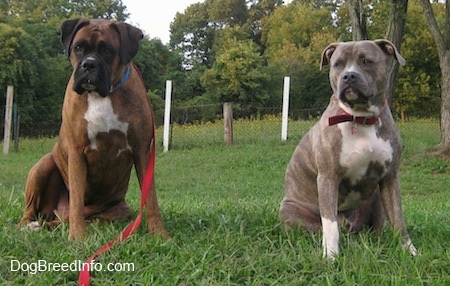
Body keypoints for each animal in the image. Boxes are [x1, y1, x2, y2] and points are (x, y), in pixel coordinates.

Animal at [19, 19, 169, 240]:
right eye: (78, 48)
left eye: (107, 50)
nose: (88, 64)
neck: (101, 96)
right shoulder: (77, 152)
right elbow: (76, 201)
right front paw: (78, 238)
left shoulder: (142, 151)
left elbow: (150, 197)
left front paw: (159, 233)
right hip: (42, 166)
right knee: (33, 211)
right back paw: (29, 225)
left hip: (120, 209)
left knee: (65, 220)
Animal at [280, 39, 416, 260]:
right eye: (338, 64)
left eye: (367, 61)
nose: (349, 76)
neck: (360, 118)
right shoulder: (328, 177)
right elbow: (330, 225)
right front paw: (331, 256)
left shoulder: (390, 177)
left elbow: (398, 219)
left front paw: (410, 251)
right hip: (288, 209)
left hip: (376, 197)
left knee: (376, 227)